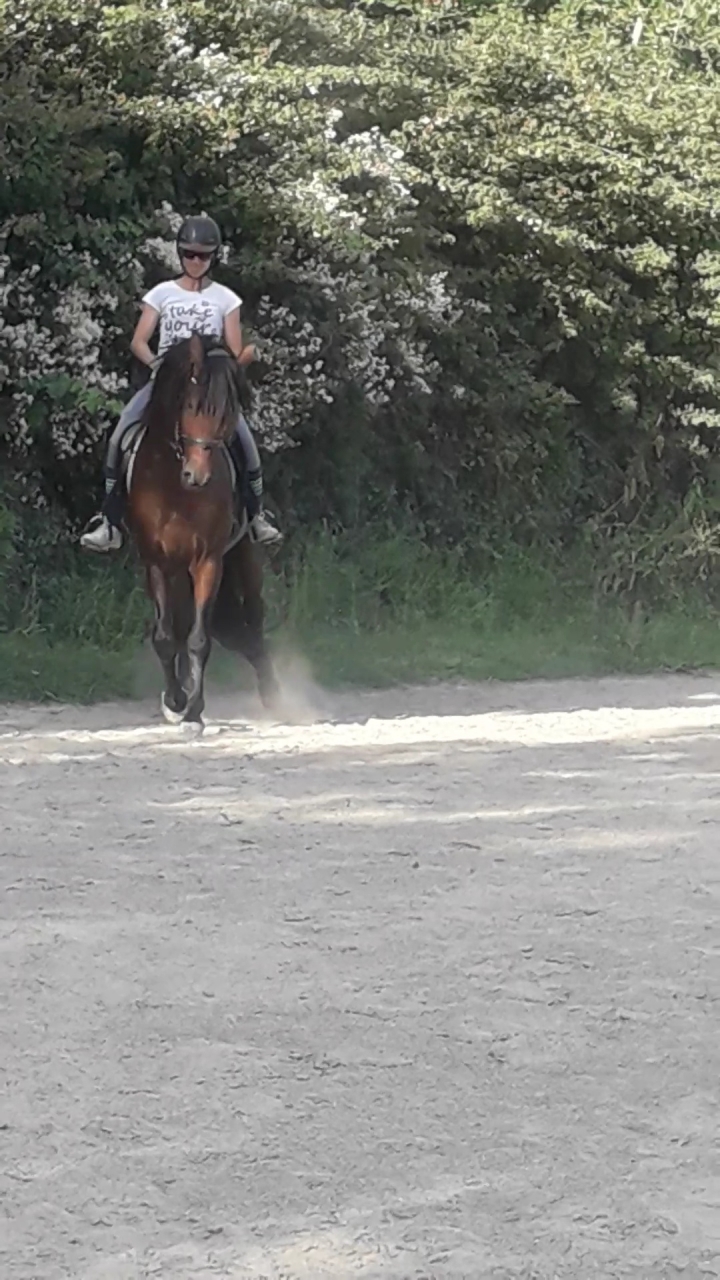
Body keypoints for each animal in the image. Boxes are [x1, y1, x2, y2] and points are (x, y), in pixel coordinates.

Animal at [126, 331, 280, 726]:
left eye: (229, 413)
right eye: (191, 405)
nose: (197, 476)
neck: (176, 487)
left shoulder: (208, 559)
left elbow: (199, 639)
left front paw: (194, 710)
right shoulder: (156, 562)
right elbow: (166, 636)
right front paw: (176, 700)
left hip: (243, 558)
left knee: (253, 620)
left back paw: (271, 692)